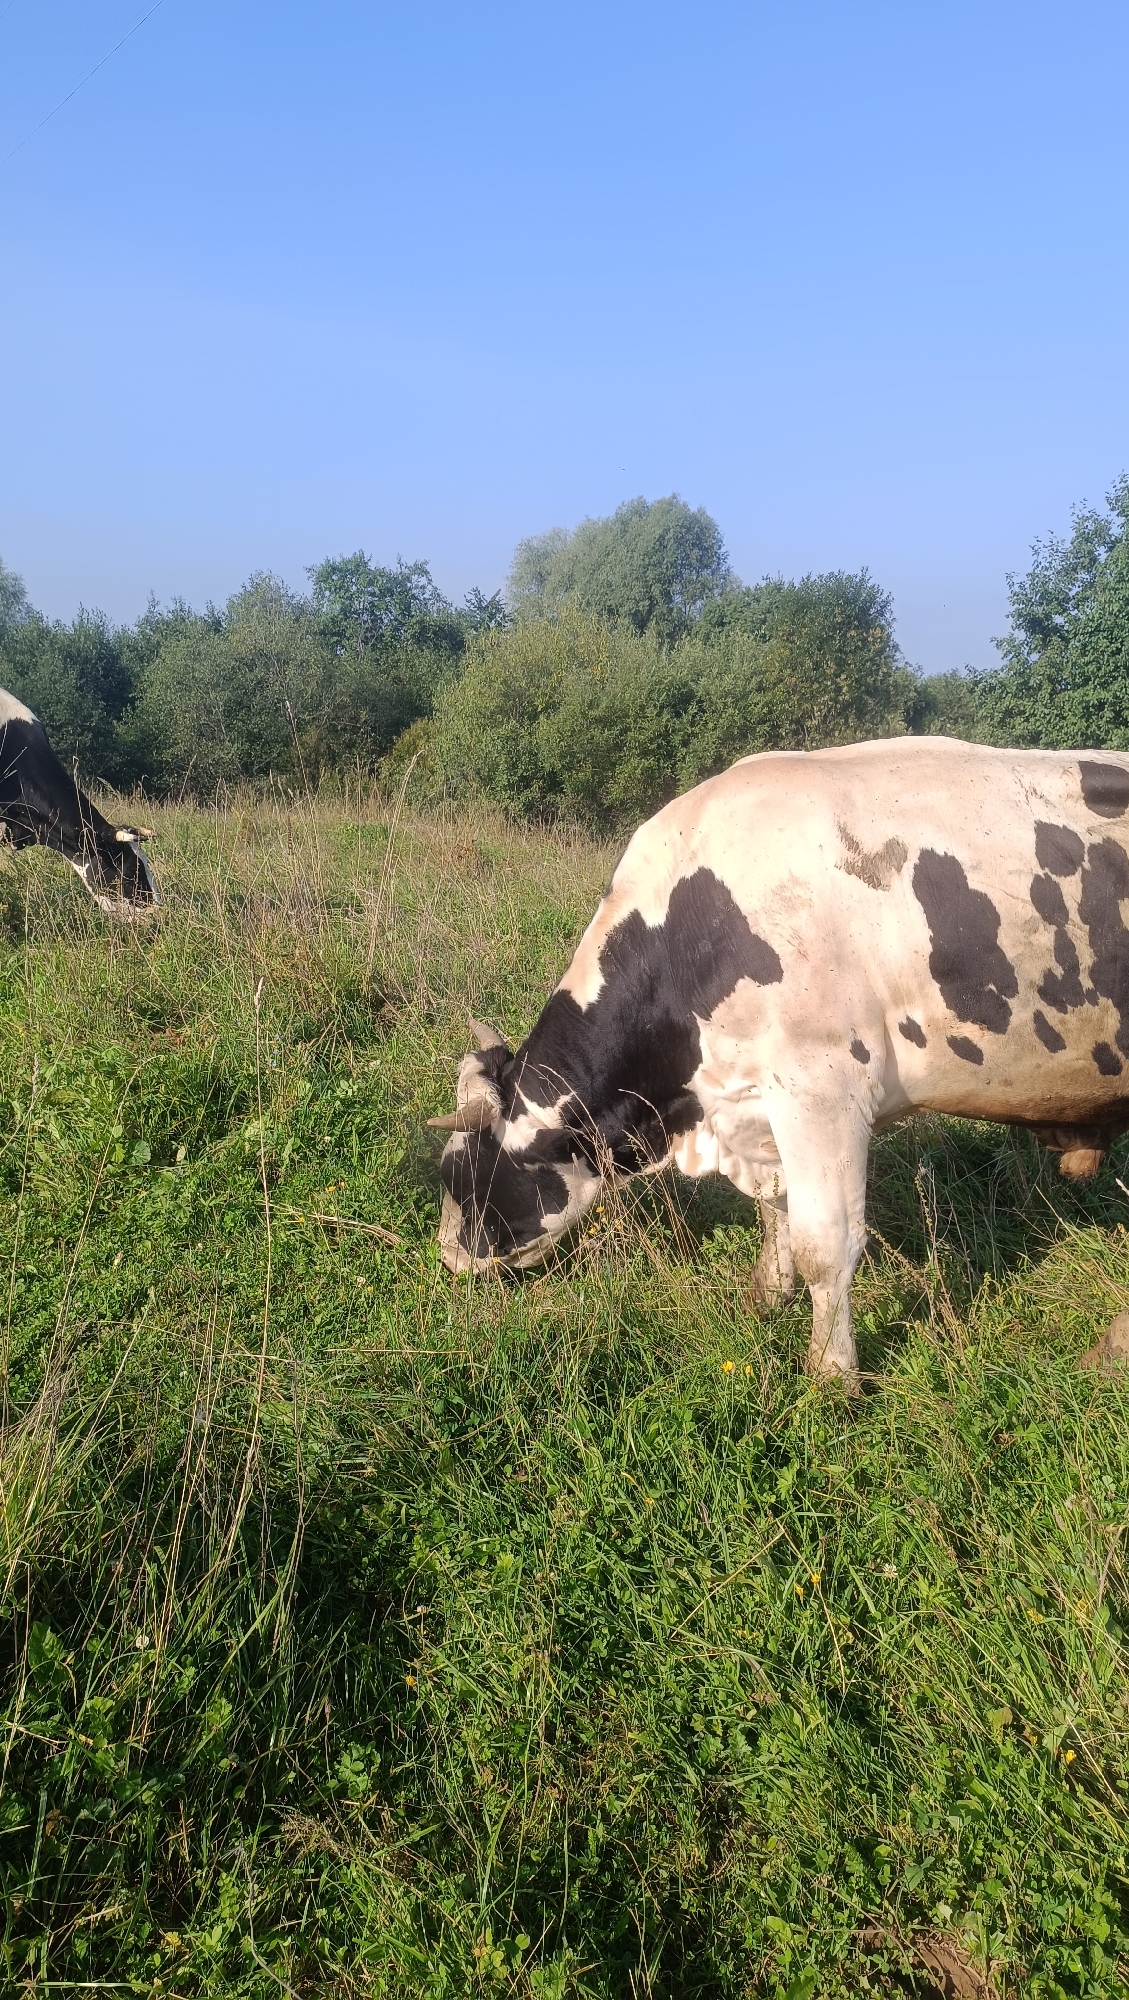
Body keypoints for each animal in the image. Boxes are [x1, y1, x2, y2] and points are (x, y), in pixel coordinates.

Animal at [431, 736, 1129, 1380]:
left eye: (459, 1175)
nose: (447, 1260)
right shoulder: (755, 1102)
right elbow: (776, 1210)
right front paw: (768, 1294)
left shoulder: (822, 1091)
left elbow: (826, 1243)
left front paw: (831, 1375)